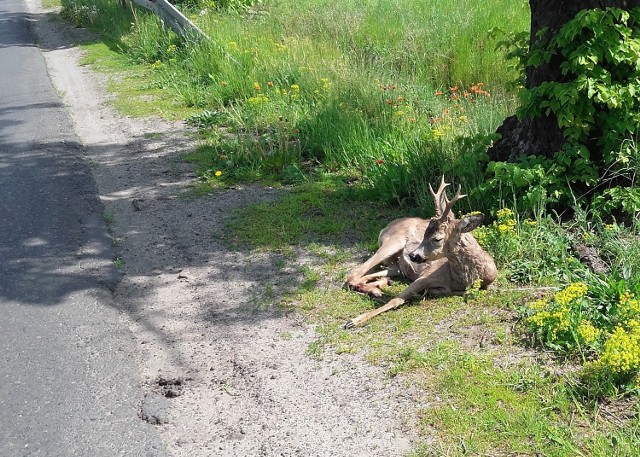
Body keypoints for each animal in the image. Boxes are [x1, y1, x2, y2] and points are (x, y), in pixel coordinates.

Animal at [342, 175, 498, 328]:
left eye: (437, 238)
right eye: (424, 234)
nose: (413, 255)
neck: (464, 278)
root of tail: (386, 226)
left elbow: (469, 291)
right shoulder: (425, 276)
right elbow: (396, 300)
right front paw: (353, 321)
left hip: (396, 266)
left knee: (366, 275)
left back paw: (380, 286)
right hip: (392, 242)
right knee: (354, 272)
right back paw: (374, 292)